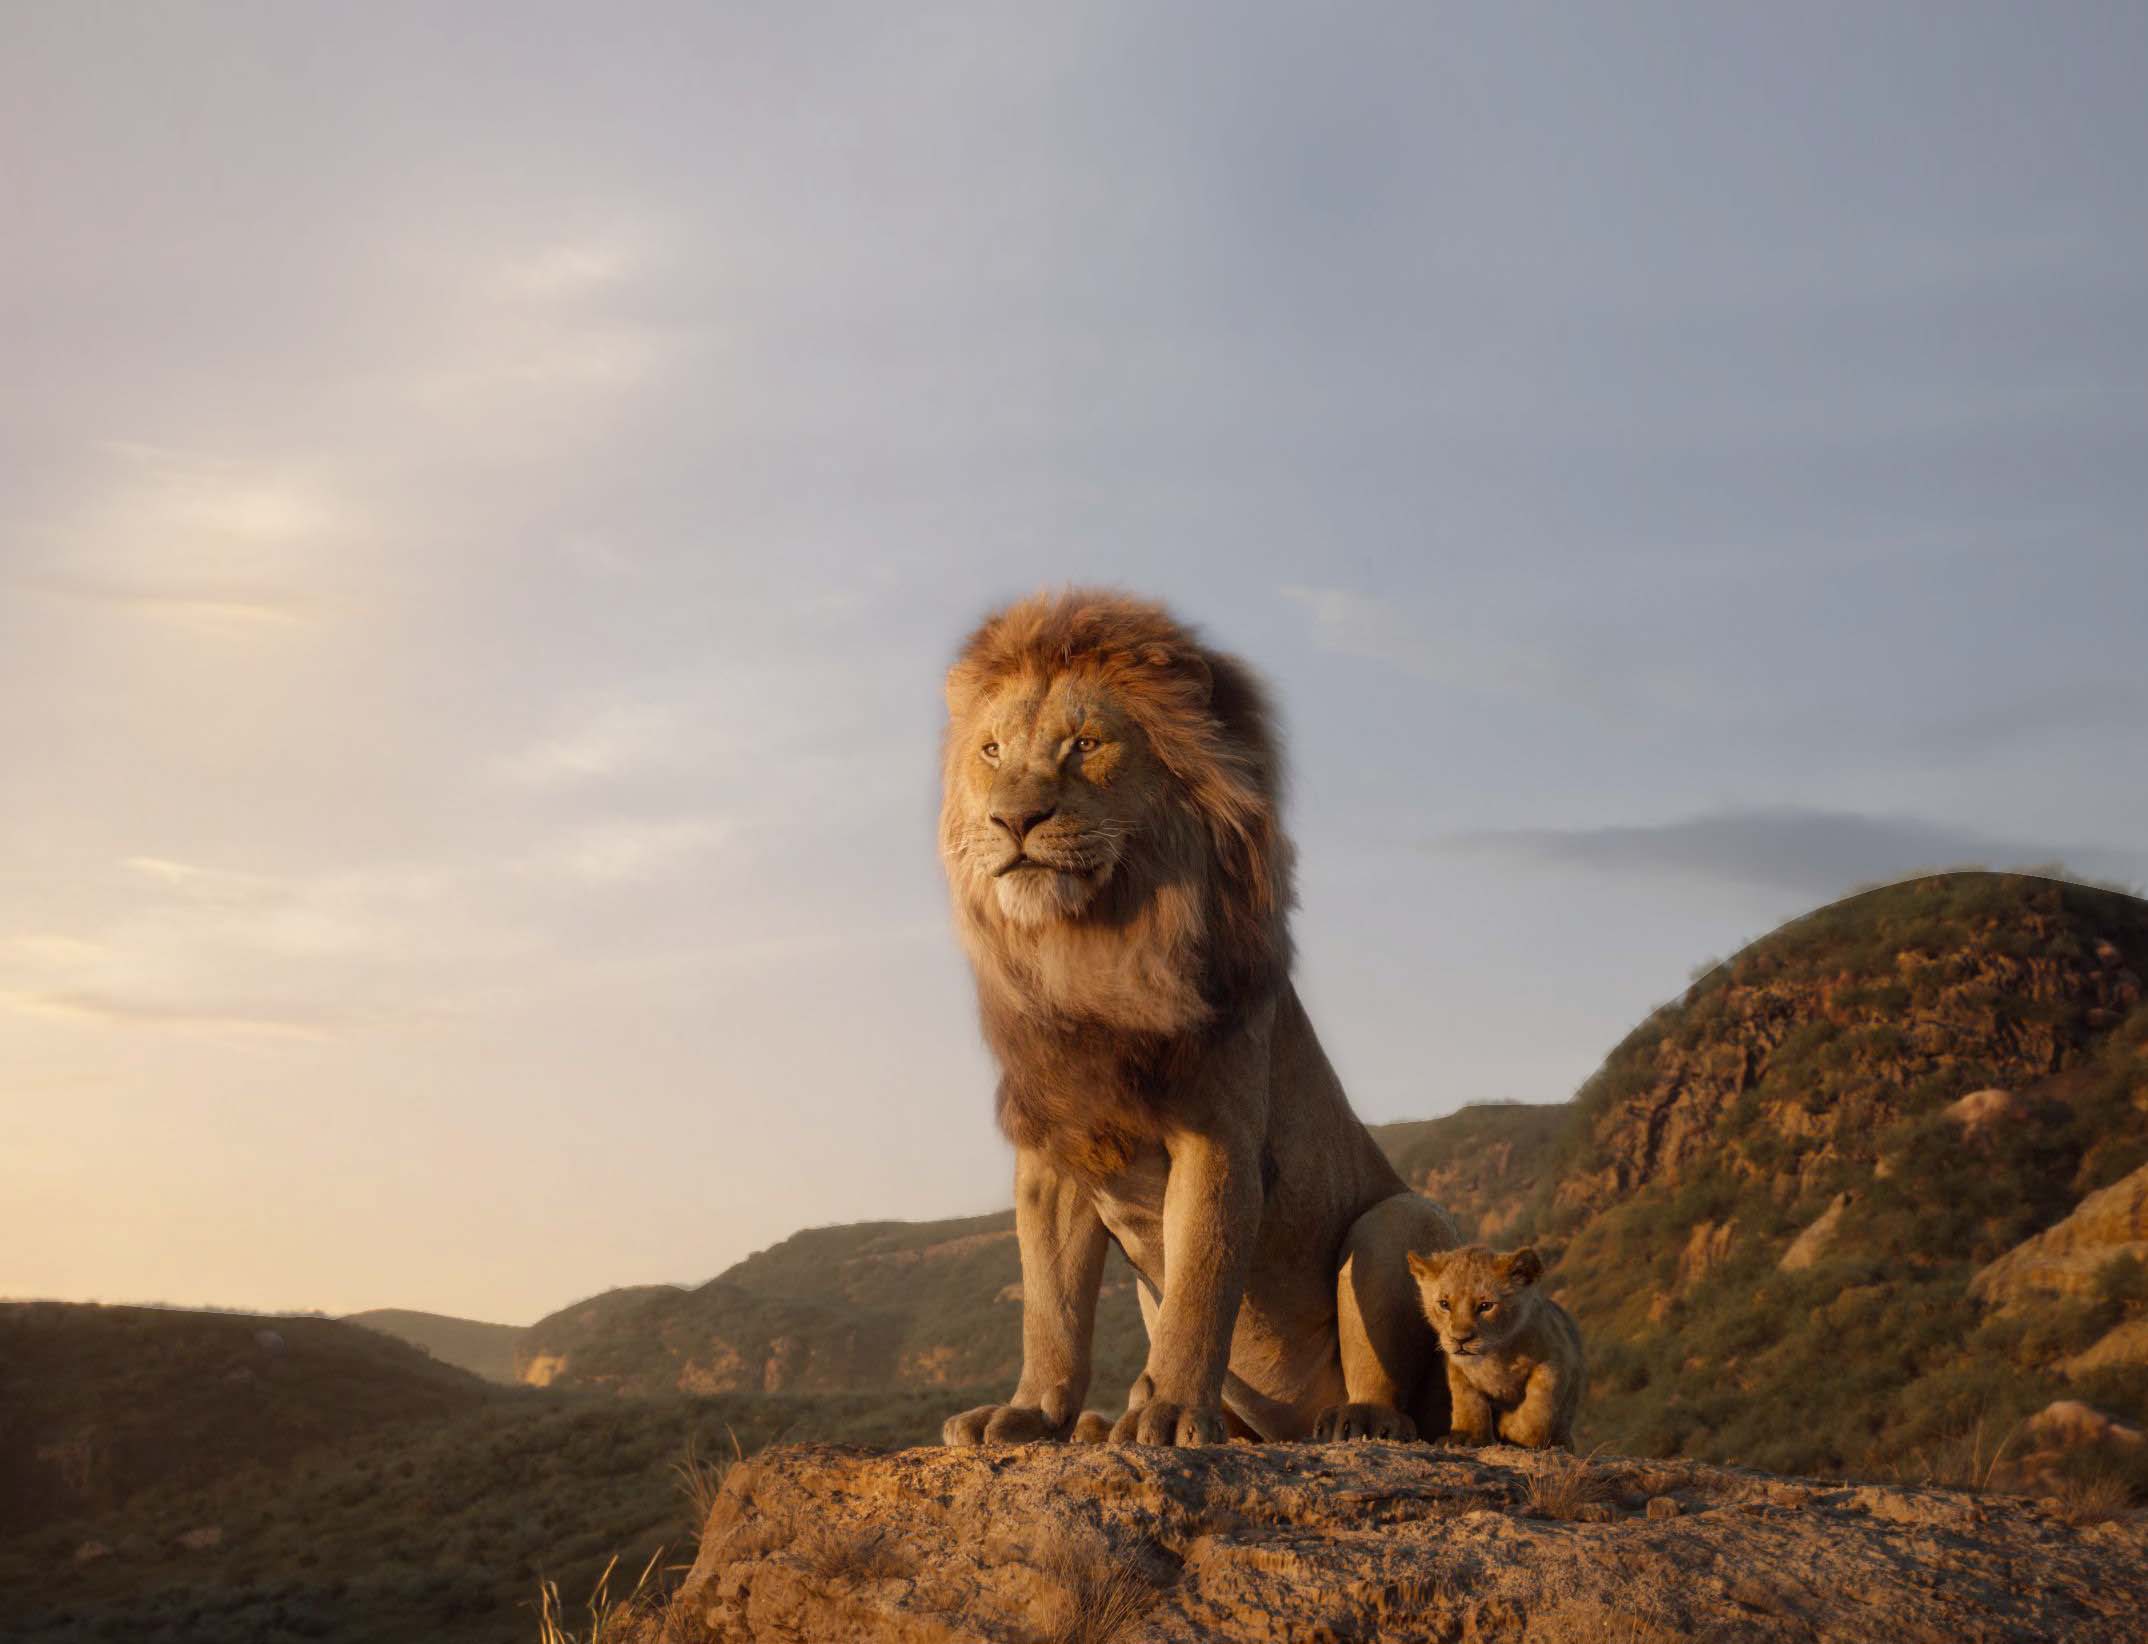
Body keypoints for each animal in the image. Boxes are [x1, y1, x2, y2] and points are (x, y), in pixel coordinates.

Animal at [936, 589, 1461, 1447]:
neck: (1090, 950)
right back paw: (1102, 1424)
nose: (1013, 820)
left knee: (1400, 1392)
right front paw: (1030, 1413)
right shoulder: (1055, 1153)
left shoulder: (1218, 1136)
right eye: (991, 751)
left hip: (1398, 1222)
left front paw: (1173, 1412)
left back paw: (1355, 1420)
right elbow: (1051, 1309)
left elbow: (1201, 1287)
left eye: (1086, 744)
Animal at [1408, 1245, 1585, 1449]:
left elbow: (1538, 1406)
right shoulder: (1458, 1368)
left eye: (1486, 1306)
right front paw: (1467, 1437)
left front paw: (1515, 1432)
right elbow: (1468, 1401)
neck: (1494, 1355)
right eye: (1444, 1304)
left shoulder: (1556, 1359)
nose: (1460, 1339)